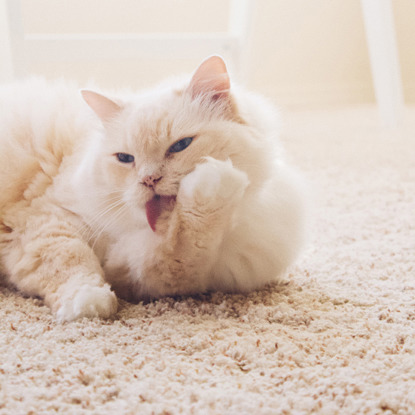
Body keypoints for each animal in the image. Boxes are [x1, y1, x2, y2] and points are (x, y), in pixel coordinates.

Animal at [0, 56, 306, 322]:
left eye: (180, 146)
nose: (148, 180)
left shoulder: (144, 274)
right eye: (125, 158)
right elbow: (68, 259)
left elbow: (180, 254)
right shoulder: (46, 219)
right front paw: (86, 302)